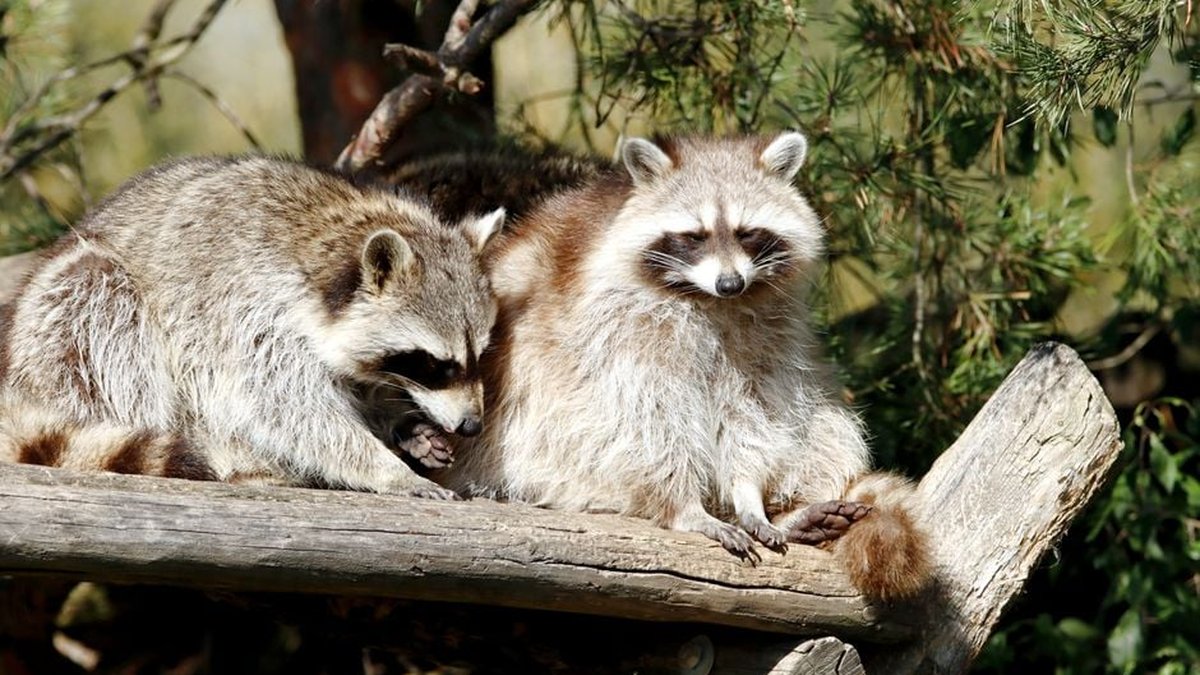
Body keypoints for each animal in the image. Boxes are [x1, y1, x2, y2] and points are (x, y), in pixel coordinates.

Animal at [0, 156, 503, 498]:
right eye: (435, 365)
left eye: (478, 355)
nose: (472, 425)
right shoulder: (247, 305)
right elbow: (282, 405)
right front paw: (383, 466)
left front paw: (402, 424)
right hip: (55, 332)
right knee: (104, 303)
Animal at [432, 134, 931, 599]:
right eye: (694, 236)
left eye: (747, 232)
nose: (731, 283)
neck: (709, 301)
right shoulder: (617, 333)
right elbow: (645, 423)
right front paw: (686, 507)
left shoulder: (766, 340)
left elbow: (751, 414)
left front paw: (748, 495)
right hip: (531, 450)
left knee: (825, 423)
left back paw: (790, 512)